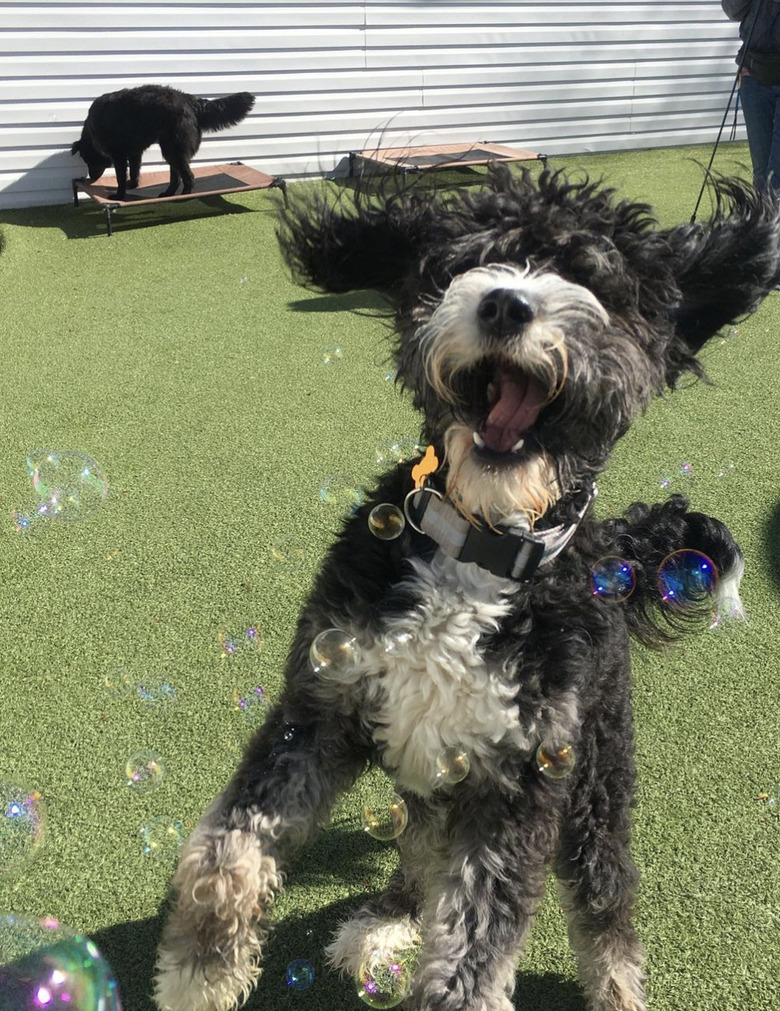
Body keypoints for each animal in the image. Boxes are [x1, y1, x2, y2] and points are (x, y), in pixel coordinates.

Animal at [71, 85, 254, 200]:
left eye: (88, 160)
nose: (90, 178)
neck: (91, 129)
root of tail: (191, 101)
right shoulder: (135, 152)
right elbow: (135, 171)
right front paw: (133, 185)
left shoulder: (119, 156)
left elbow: (120, 178)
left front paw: (119, 195)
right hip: (172, 150)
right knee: (176, 178)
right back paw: (168, 194)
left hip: (172, 150)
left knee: (188, 177)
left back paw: (184, 196)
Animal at [153, 167, 780, 1011]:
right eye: (465, 263)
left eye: (592, 279)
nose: (506, 303)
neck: (480, 544)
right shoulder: (320, 704)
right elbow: (227, 849)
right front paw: (202, 969)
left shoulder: (521, 783)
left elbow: (475, 944)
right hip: (427, 788)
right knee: (419, 857)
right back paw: (381, 922)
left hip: (596, 780)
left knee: (607, 888)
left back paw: (616, 981)